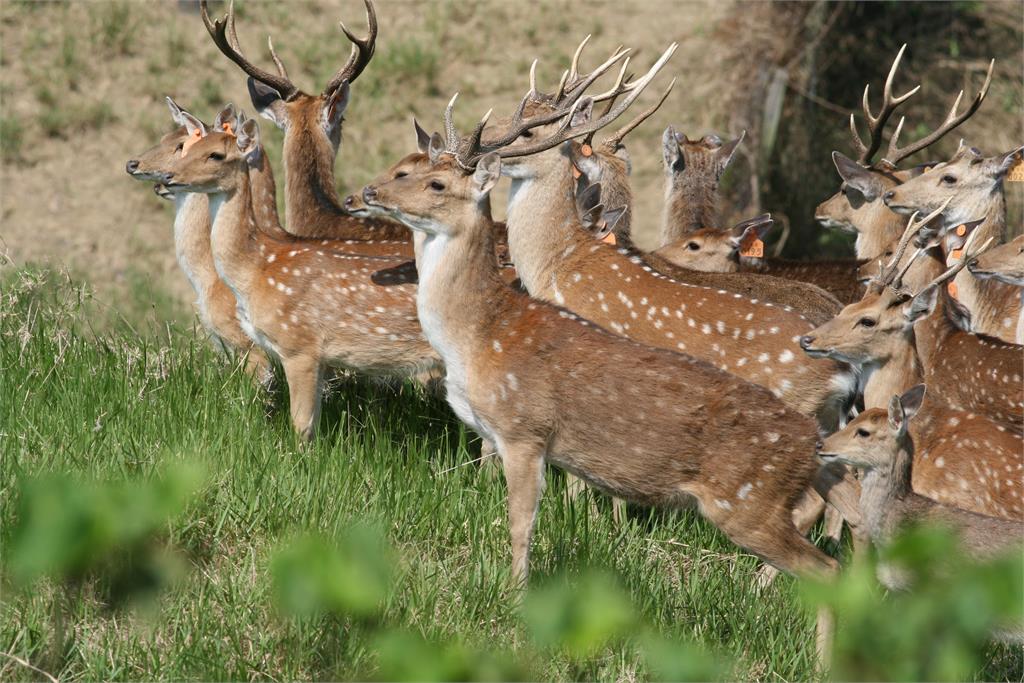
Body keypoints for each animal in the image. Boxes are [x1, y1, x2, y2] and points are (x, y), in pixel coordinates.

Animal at [360, 119, 858, 660]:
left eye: (434, 183)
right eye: (404, 169)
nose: (370, 191)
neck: (476, 334)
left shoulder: (524, 430)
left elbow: (522, 523)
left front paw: (513, 602)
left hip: (748, 499)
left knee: (828, 566)